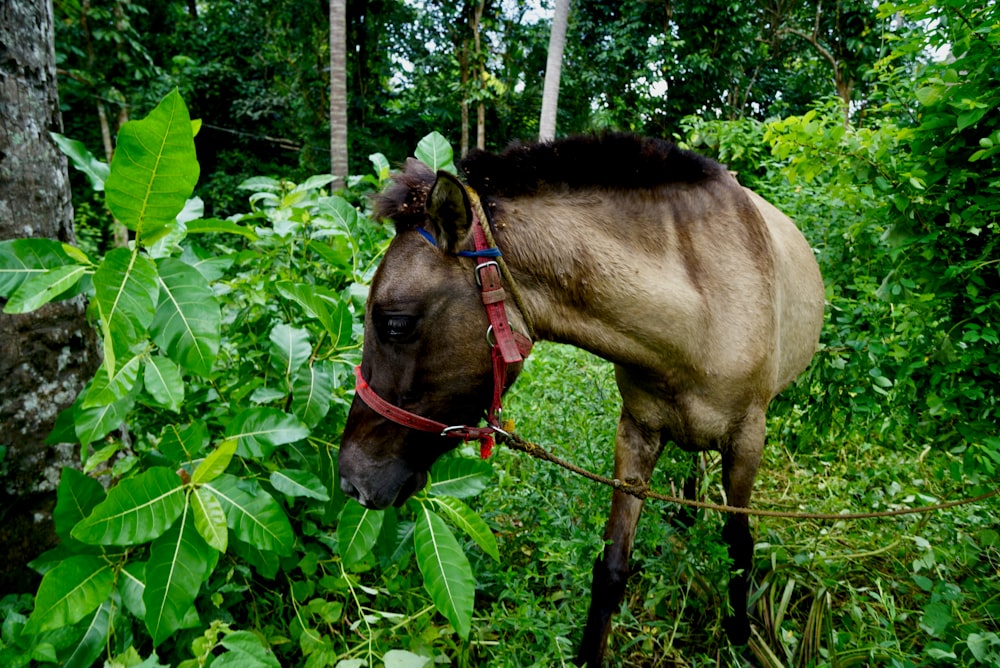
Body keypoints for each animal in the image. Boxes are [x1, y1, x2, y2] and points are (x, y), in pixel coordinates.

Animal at [336, 133, 820, 664]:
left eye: (395, 323)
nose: (351, 479)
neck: (702, 310)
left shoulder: (748, 440)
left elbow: (738, 546)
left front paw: (738, 635)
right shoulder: (637, 433)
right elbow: (611, 569)